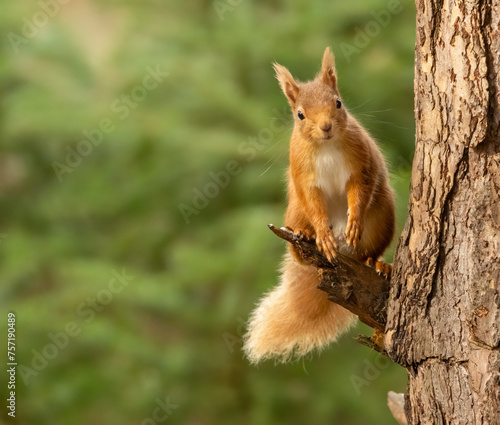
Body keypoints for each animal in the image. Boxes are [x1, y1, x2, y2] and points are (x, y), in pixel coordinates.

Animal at [244, 48, 396, 362]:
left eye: (338, 102)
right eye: (300, 114)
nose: (326, 126)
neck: (326, 146)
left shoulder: (361, 165)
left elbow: (360, 192)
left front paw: (354, 221)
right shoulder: (304, 177)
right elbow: (315, 203)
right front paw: (322, 234)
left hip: (383, 217)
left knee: (367, 253)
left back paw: (376, 263)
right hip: (294, 213)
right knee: (301, 249)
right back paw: (307, 235)